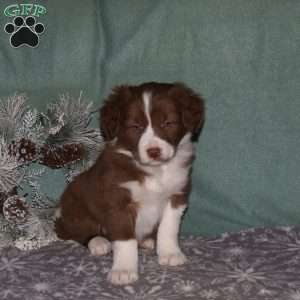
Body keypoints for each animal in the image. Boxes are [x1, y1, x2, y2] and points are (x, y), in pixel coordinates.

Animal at [54, 82, 204, 286]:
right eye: (135, 126)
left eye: (168, 123)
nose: (154, 151)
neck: (154, 172)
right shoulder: (118, 202)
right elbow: (125, 240)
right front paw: (124, 270)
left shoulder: (176, 196)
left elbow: (168, 228)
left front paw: (170, 253)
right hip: (76, 208)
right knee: (79, 233)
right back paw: (99, 242)